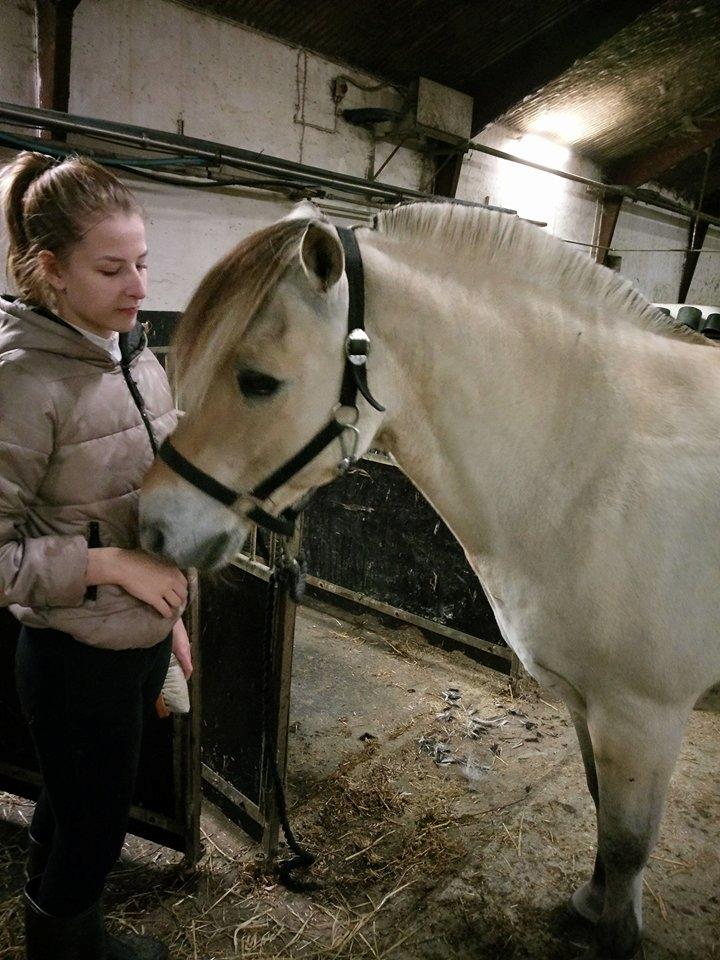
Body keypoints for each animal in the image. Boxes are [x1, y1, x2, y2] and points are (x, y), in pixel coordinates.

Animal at [139, 199, 720, 956]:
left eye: (259, 381)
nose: (152, 525)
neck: (597, 461)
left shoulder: (642, 716)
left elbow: (626, 844)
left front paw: (615, 932)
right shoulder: (588, 704)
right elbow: (601, 816)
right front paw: (591, 908)